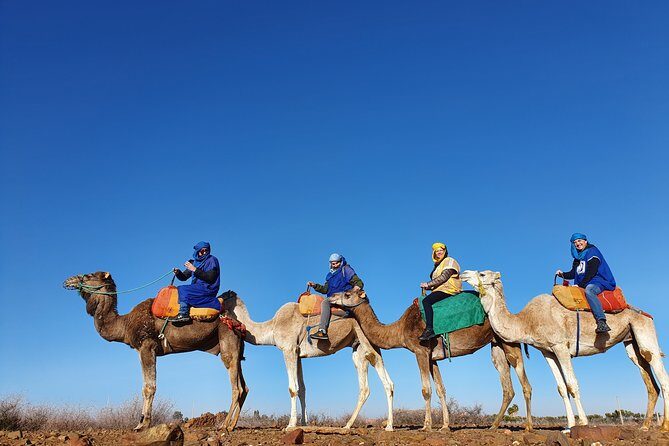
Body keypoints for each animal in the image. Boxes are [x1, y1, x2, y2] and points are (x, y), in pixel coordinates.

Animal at [63, 271, 248, 431]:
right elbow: (146, 386)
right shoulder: (141, 349)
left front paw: (142, 424)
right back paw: (232, 425)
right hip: (236, 345)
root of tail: (236, 320)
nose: (67, 281)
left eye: (88, 275)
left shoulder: (147, 345)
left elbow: (149, 387)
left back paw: (224, 425)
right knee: (244, 386)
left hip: (227, 335)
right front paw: (141, 422)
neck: (125, 324)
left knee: (236, 385)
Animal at [221, 291, 395, 430]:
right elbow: (302, 389)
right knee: (376, 384)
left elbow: (292, 388)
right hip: (359, 348)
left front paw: (290, 425)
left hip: (366, 342)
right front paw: (303, 423)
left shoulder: (289, 350)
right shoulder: (298, 355)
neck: (272, 326)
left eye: (222, 296)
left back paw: (386, 426)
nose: (217, 308)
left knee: (378, 376)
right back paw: (353, 425)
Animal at [330, 289, 534, 431]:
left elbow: (426, 390)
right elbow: (441, 390)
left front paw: (426, 426)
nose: (331, 297)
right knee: (507, 387)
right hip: (497, 344)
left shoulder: (420, 351)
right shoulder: (432, 358)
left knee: (524, 382)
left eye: (347, 294)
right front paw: (444, 426)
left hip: (508, 341)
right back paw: (493, 425)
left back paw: (529, 427)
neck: (400, 328)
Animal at [460, 270, 669, 431]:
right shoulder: (547, 351)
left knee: (660, 373)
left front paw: (582, 422)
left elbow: (572, 384)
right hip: (631, 341)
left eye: (482, 273)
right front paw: (569, 424)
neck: (527, 321)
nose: (463, 273)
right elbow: (561, 388)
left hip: (644, 329)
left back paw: (664, 426)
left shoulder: (560, 346)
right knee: (648, 378)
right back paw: (645, 426)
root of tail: (643, 312)